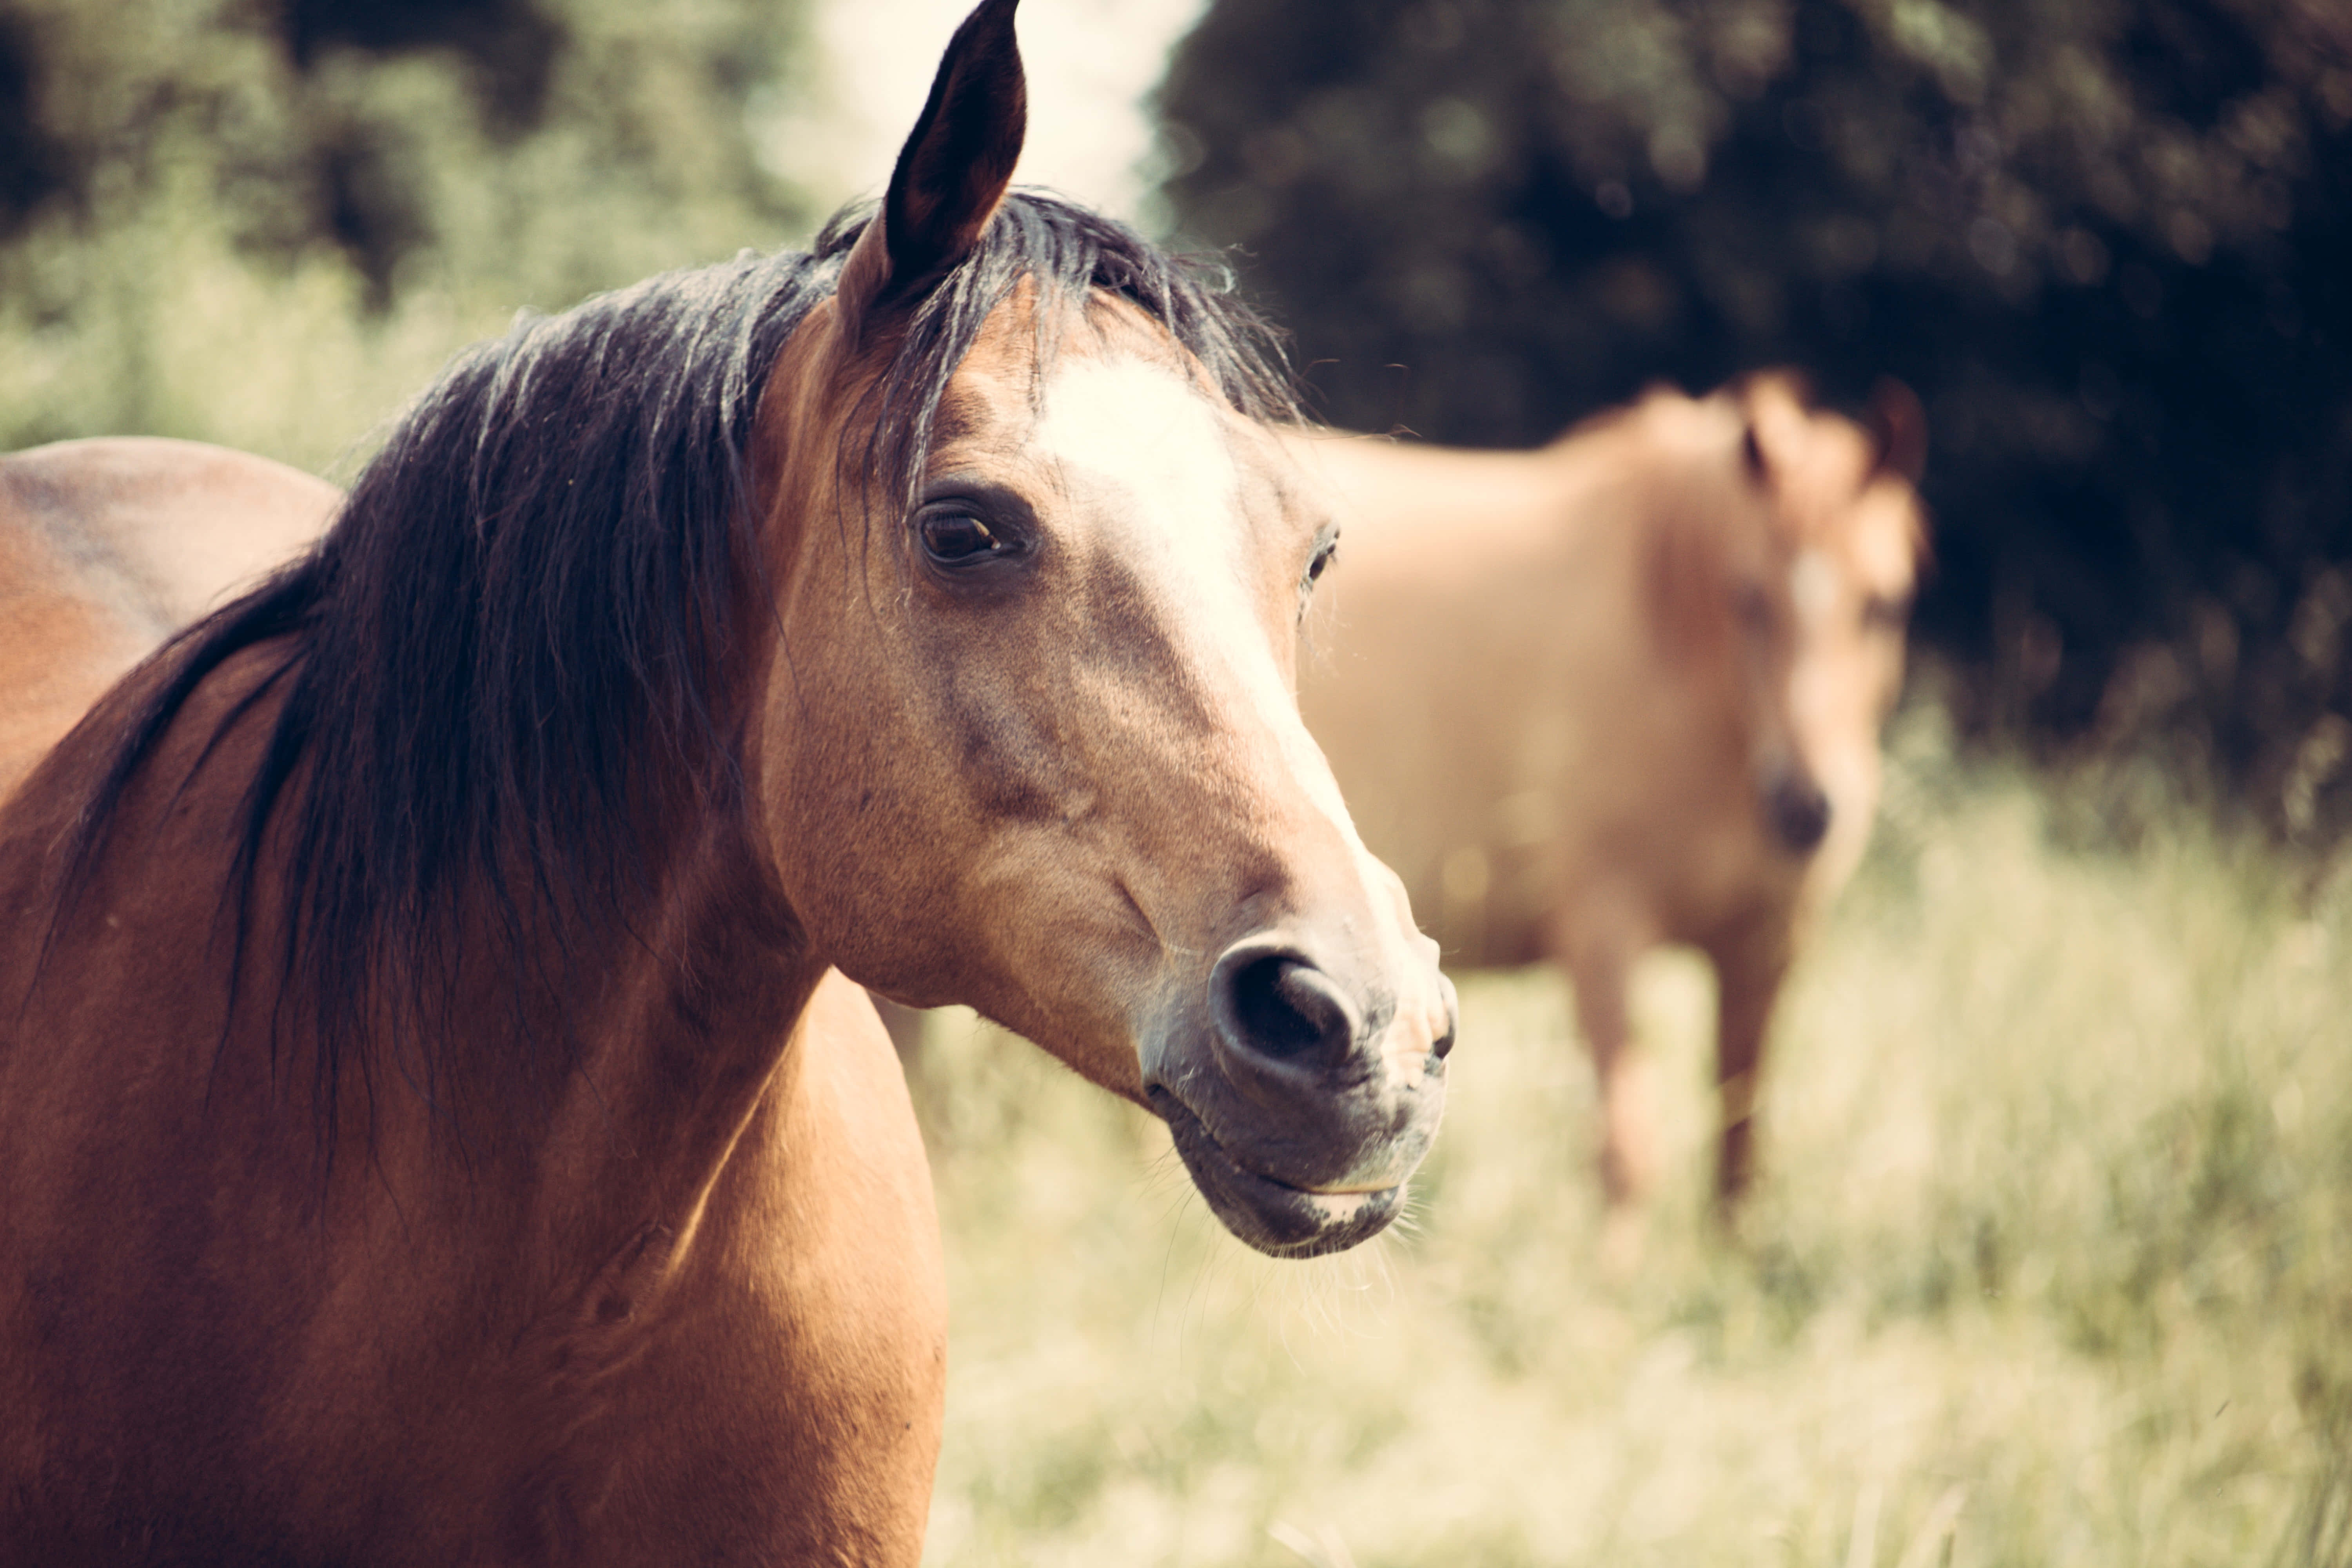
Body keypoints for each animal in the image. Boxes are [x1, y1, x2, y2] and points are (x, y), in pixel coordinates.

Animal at [1292, 374, 1924, 1219]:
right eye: (1747, 598)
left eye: (1886, 605)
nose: (1806, 807)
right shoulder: (1603, 930)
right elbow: (1628, 1153)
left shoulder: (1765, 943)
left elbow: (1742, 1142)